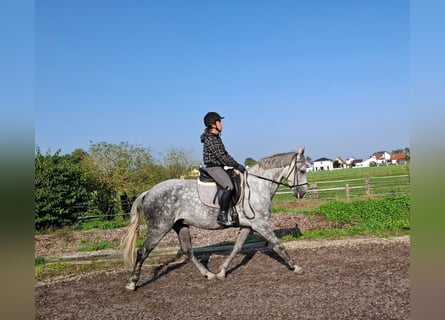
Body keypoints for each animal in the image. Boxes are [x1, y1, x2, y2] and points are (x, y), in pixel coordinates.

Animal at [122, 147, 308, 290]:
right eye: (302, 170)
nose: (302, 193)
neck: (257, 186)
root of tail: (148, 192)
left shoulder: (248, 226)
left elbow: (236, 248)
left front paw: (222, 271)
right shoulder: (261, 224)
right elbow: (278, 245)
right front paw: (296, 267)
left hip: (180, 225)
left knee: (188, 251)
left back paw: (208, 274)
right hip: (159, 228)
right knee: (143, 251)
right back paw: (132, 284)